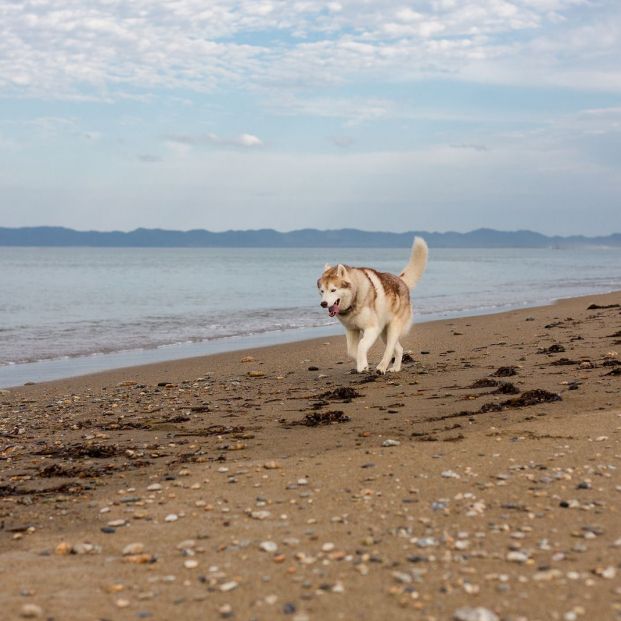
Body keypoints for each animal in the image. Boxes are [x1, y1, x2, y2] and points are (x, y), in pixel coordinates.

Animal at [318, 237, 428, 372]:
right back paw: (395, 368)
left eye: (333, 290)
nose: (323, 303)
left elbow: (361, 345)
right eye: (322, 291)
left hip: (392, 327)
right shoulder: (352, 330)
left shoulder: (372, 329)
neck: (355, 298)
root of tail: (400, 280)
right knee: (399, 349)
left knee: (389, 349)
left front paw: (362, 364)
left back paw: (382, 367)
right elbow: (352, 351)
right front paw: (363, 365)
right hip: (384, 332)